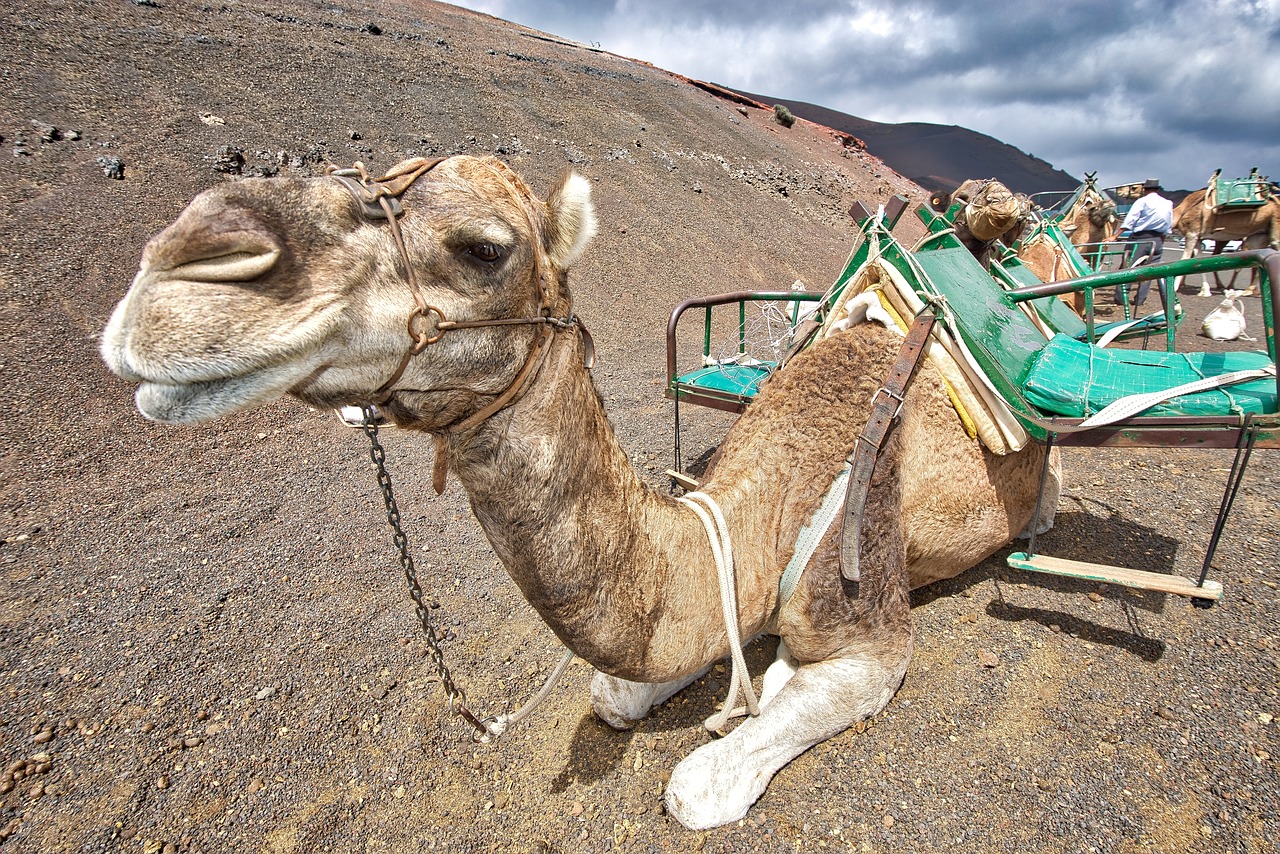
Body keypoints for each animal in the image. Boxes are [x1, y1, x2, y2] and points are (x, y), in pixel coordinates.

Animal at [102, 153, 1059, 829]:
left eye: (485, 248)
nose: (184, 264)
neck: (773, 499)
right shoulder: (720, 594)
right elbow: (615, 690)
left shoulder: (873, 631)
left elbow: (697, 785)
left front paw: (772, 685)